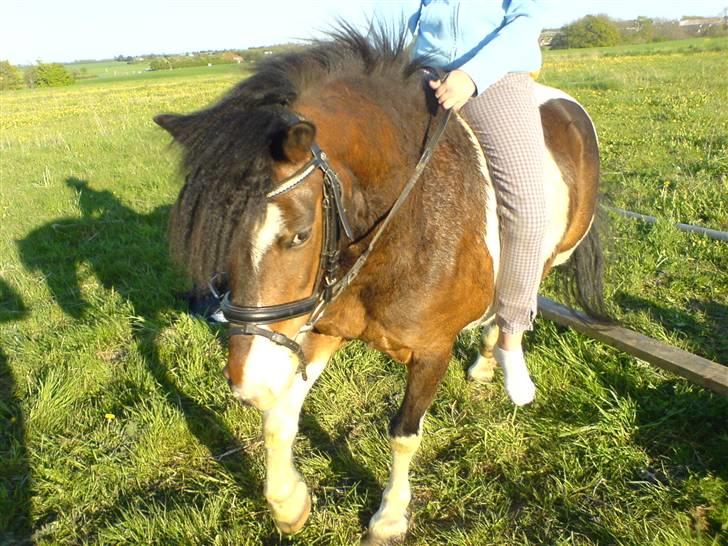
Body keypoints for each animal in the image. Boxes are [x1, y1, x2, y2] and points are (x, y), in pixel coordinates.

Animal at [156, 28, 604, 540]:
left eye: (300, 235)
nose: (249, 385)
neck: (401, 221)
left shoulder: (432, 351)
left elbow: (404, 434)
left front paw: (389, 517)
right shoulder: (316, 327)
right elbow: (280, 417)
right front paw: (289, 503)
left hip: (551, 250)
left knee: (519, 297)